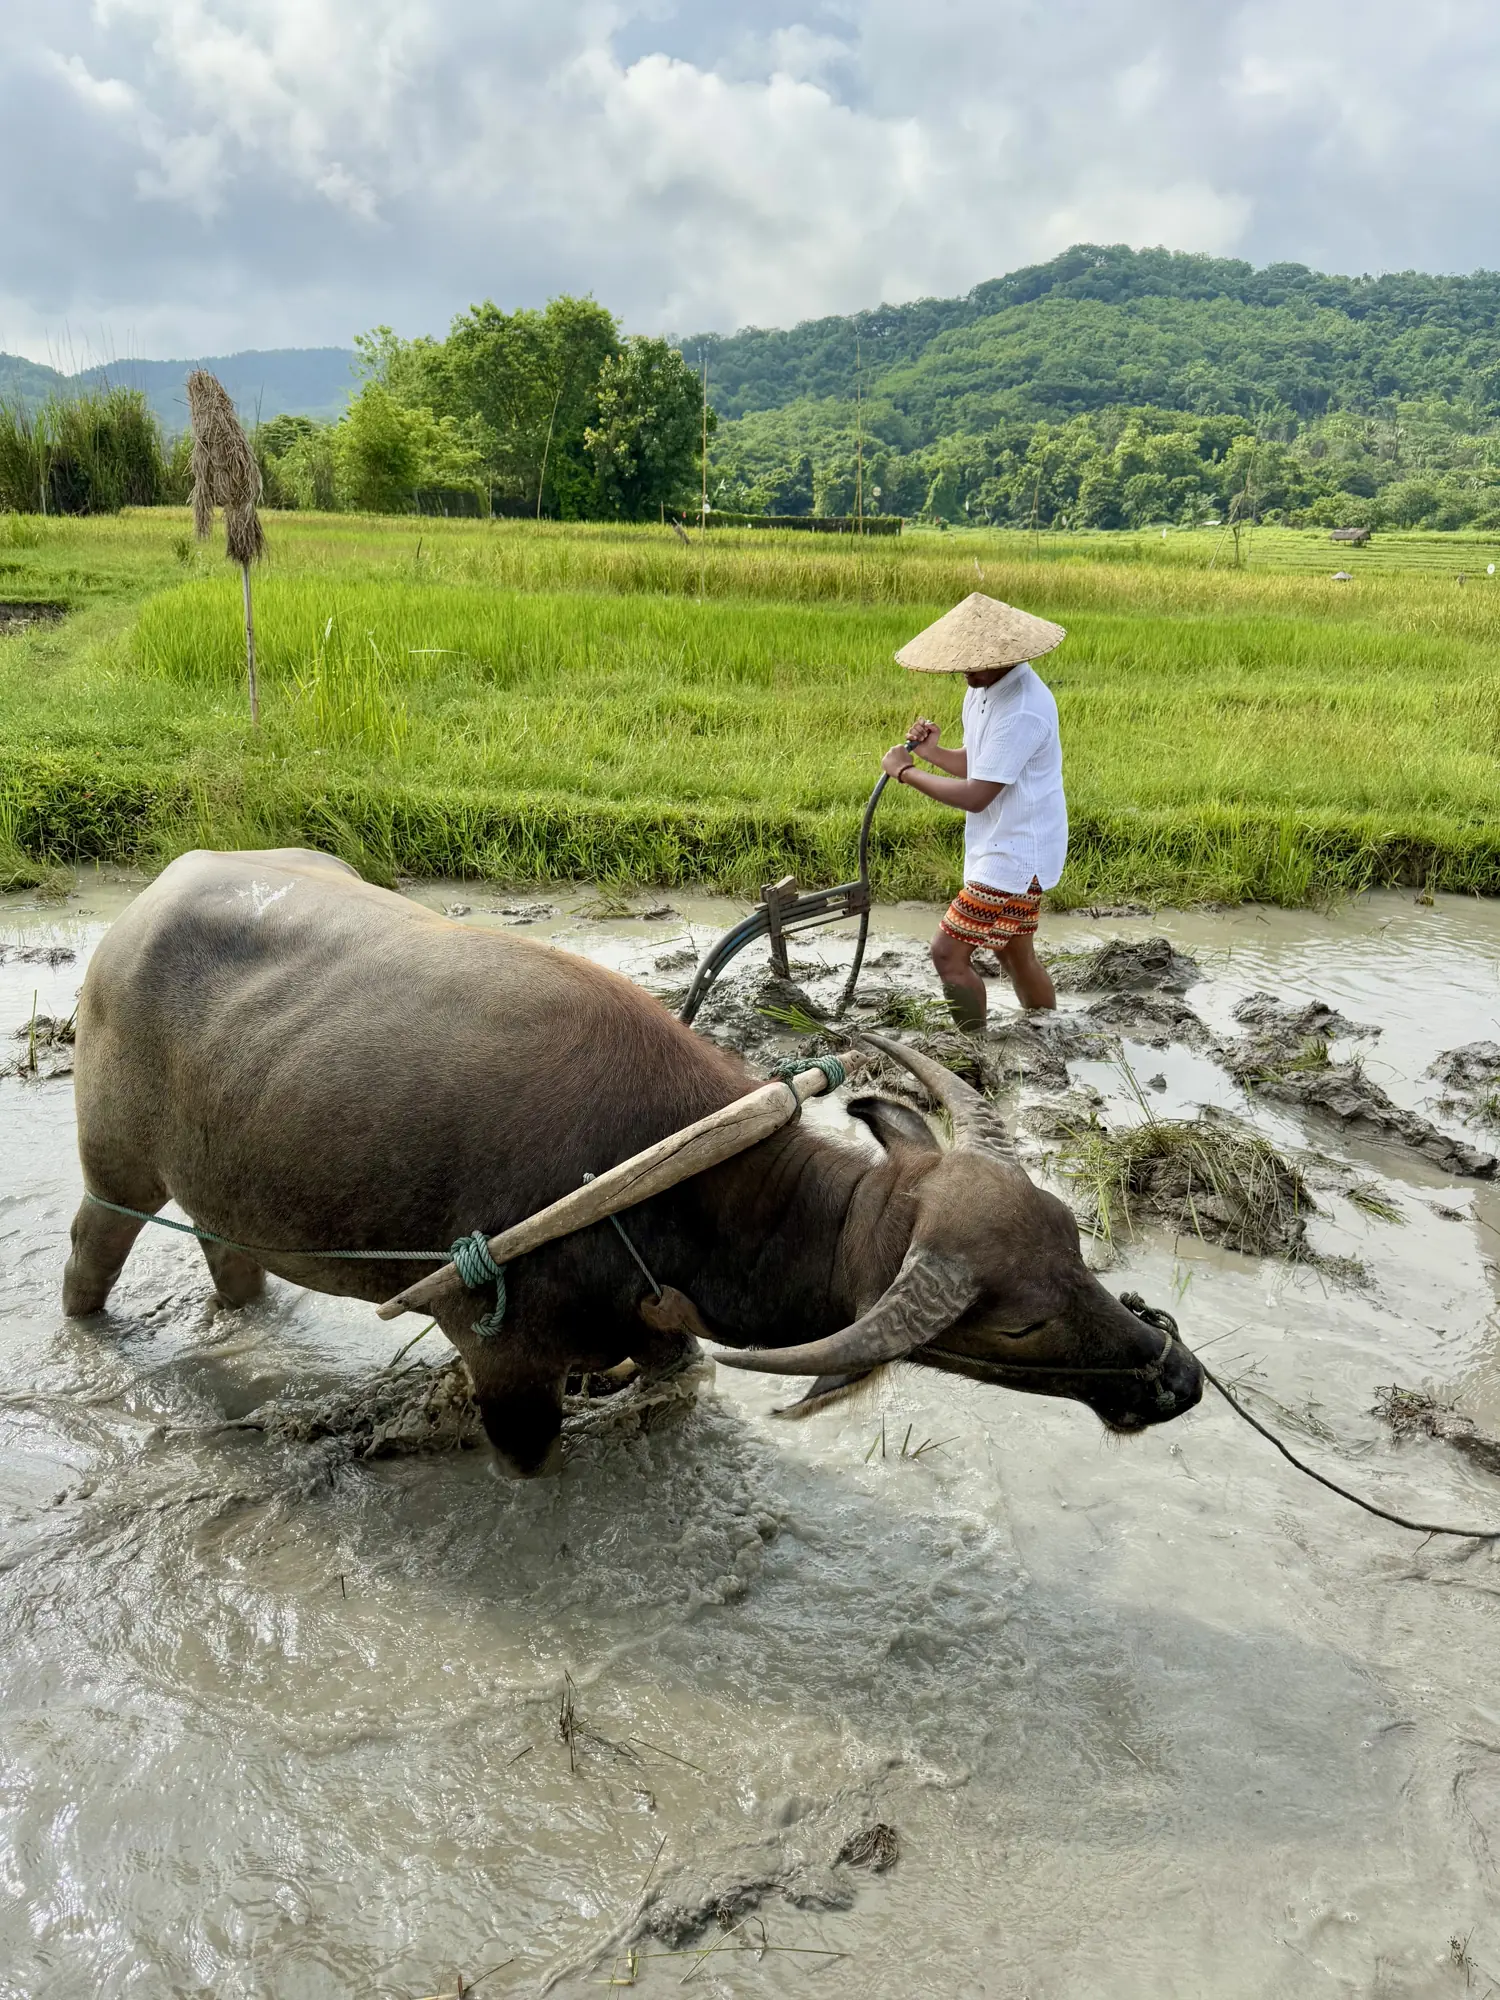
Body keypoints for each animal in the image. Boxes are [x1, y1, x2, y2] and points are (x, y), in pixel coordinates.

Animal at [64, 849, 1202, 1473]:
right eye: (1019, 1324)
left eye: (1071, 1239)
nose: (1177, 1375)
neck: (668, 1186)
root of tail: (137, 914)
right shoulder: (504, 1361)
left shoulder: (655, 1334)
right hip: (115, 1173)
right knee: (92, 1252)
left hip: (223, 1184)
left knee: (228, 1258)